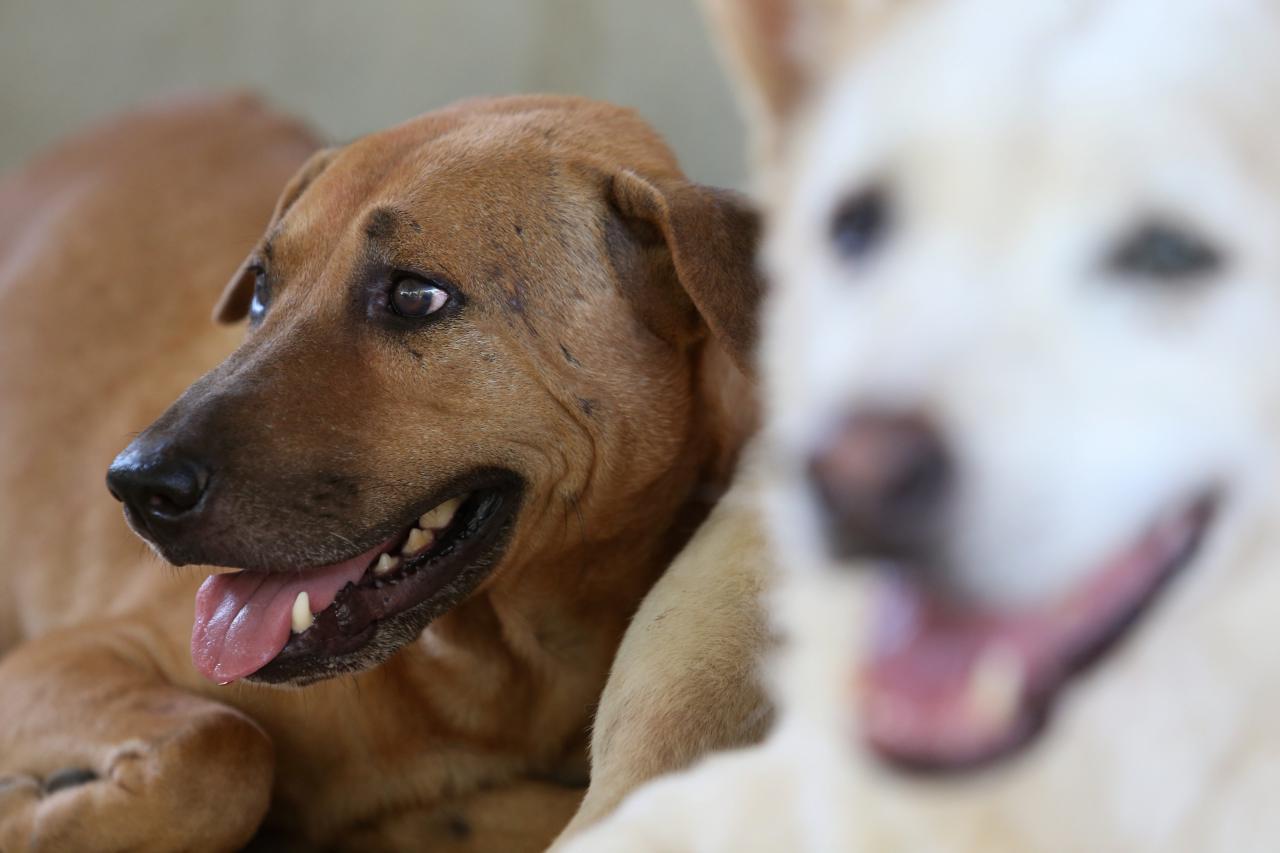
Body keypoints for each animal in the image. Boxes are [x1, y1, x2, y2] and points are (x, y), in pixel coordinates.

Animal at [0, 92, 762, 850]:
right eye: (261, 287)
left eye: (415, 296)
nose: (134, 485)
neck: (502, 674)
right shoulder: (72, 656)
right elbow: (225, 746)